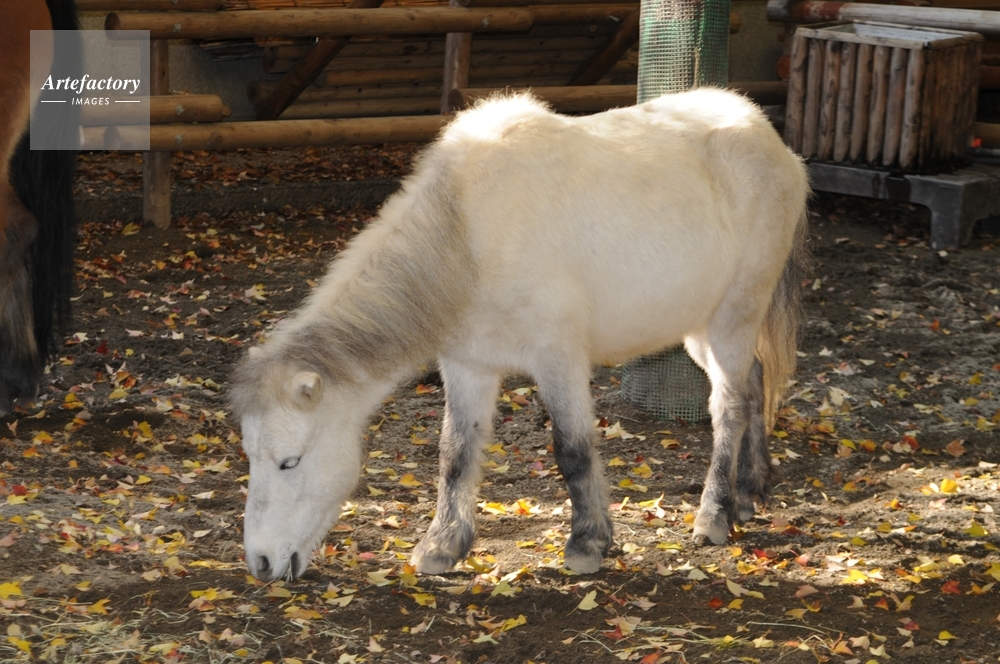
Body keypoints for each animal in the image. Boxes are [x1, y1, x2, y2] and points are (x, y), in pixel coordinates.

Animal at [231, 88, 810, 583]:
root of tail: (770, 139)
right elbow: (455, 452)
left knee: (728, 408)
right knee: (753, 385)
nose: (260, 563)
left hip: (733, 315)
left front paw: (587, 544)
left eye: (289, 461)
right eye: (251, 457)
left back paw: (713, 515)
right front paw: (443, 546)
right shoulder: (467, 366)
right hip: (700, 327)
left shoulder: (559, 359)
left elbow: (572, 449)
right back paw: (750, 492)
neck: (467, 238)